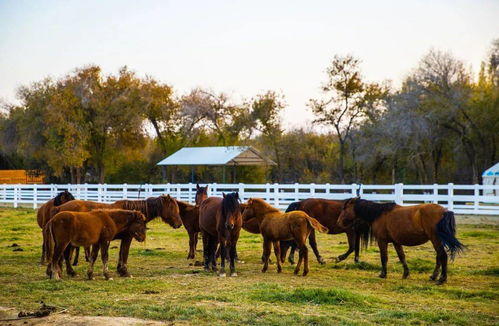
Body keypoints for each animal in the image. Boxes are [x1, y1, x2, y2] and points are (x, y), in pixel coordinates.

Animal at [48, 195, 181, 276]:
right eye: (172, 208)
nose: (179, 224)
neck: (129, 216)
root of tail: (59, 208)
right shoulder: (127, 238)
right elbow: (124, 253)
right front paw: (124, 271)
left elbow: (121, 253)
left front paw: (120, 270)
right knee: (63, 255)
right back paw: (67, 272)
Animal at [338, 197, 466, 284]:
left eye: (345, 208)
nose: (338, 222)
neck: (379, 214)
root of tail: (445, 211)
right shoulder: (396, 242)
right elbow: (402, 257)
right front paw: (406, 274)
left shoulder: (382, 241)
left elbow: (384, 257)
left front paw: (383, 274)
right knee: (439, 256)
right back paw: (433, 276)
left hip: (435, 239)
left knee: (442, 255)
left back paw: (441, 279)